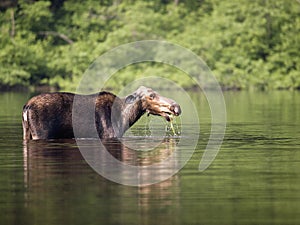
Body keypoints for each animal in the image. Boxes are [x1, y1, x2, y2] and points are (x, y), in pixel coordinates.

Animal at [22, 85, 182, 140]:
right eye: (151, 96)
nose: (176, 106)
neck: (125, 118)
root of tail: (26, 107)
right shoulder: (108, 135)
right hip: (41, 133)